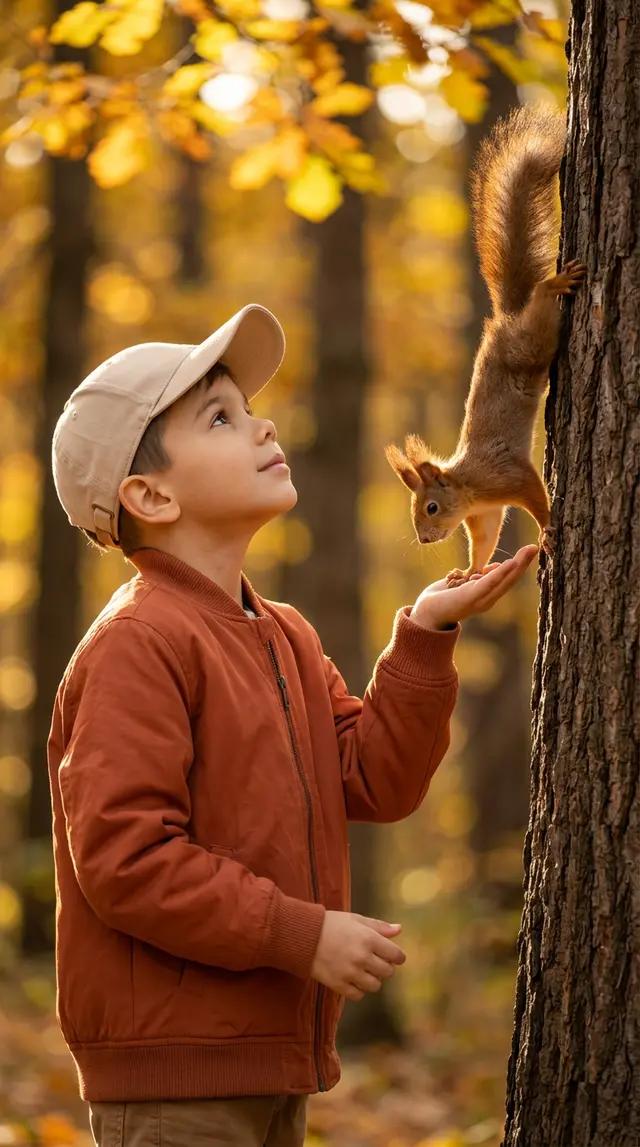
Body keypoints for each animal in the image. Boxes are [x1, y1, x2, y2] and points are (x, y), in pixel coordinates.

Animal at [385, 105, 586, 586]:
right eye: (415, 511)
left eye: (431, 507)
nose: (424, 539)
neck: (470, 489)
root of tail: (505, 318)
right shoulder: (486, 515)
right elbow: (485, 542)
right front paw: (469, 572)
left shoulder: (508, 476)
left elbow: (536, 497)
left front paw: (549, 530)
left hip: (533, 341)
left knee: (541, 305)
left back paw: (556, 283)